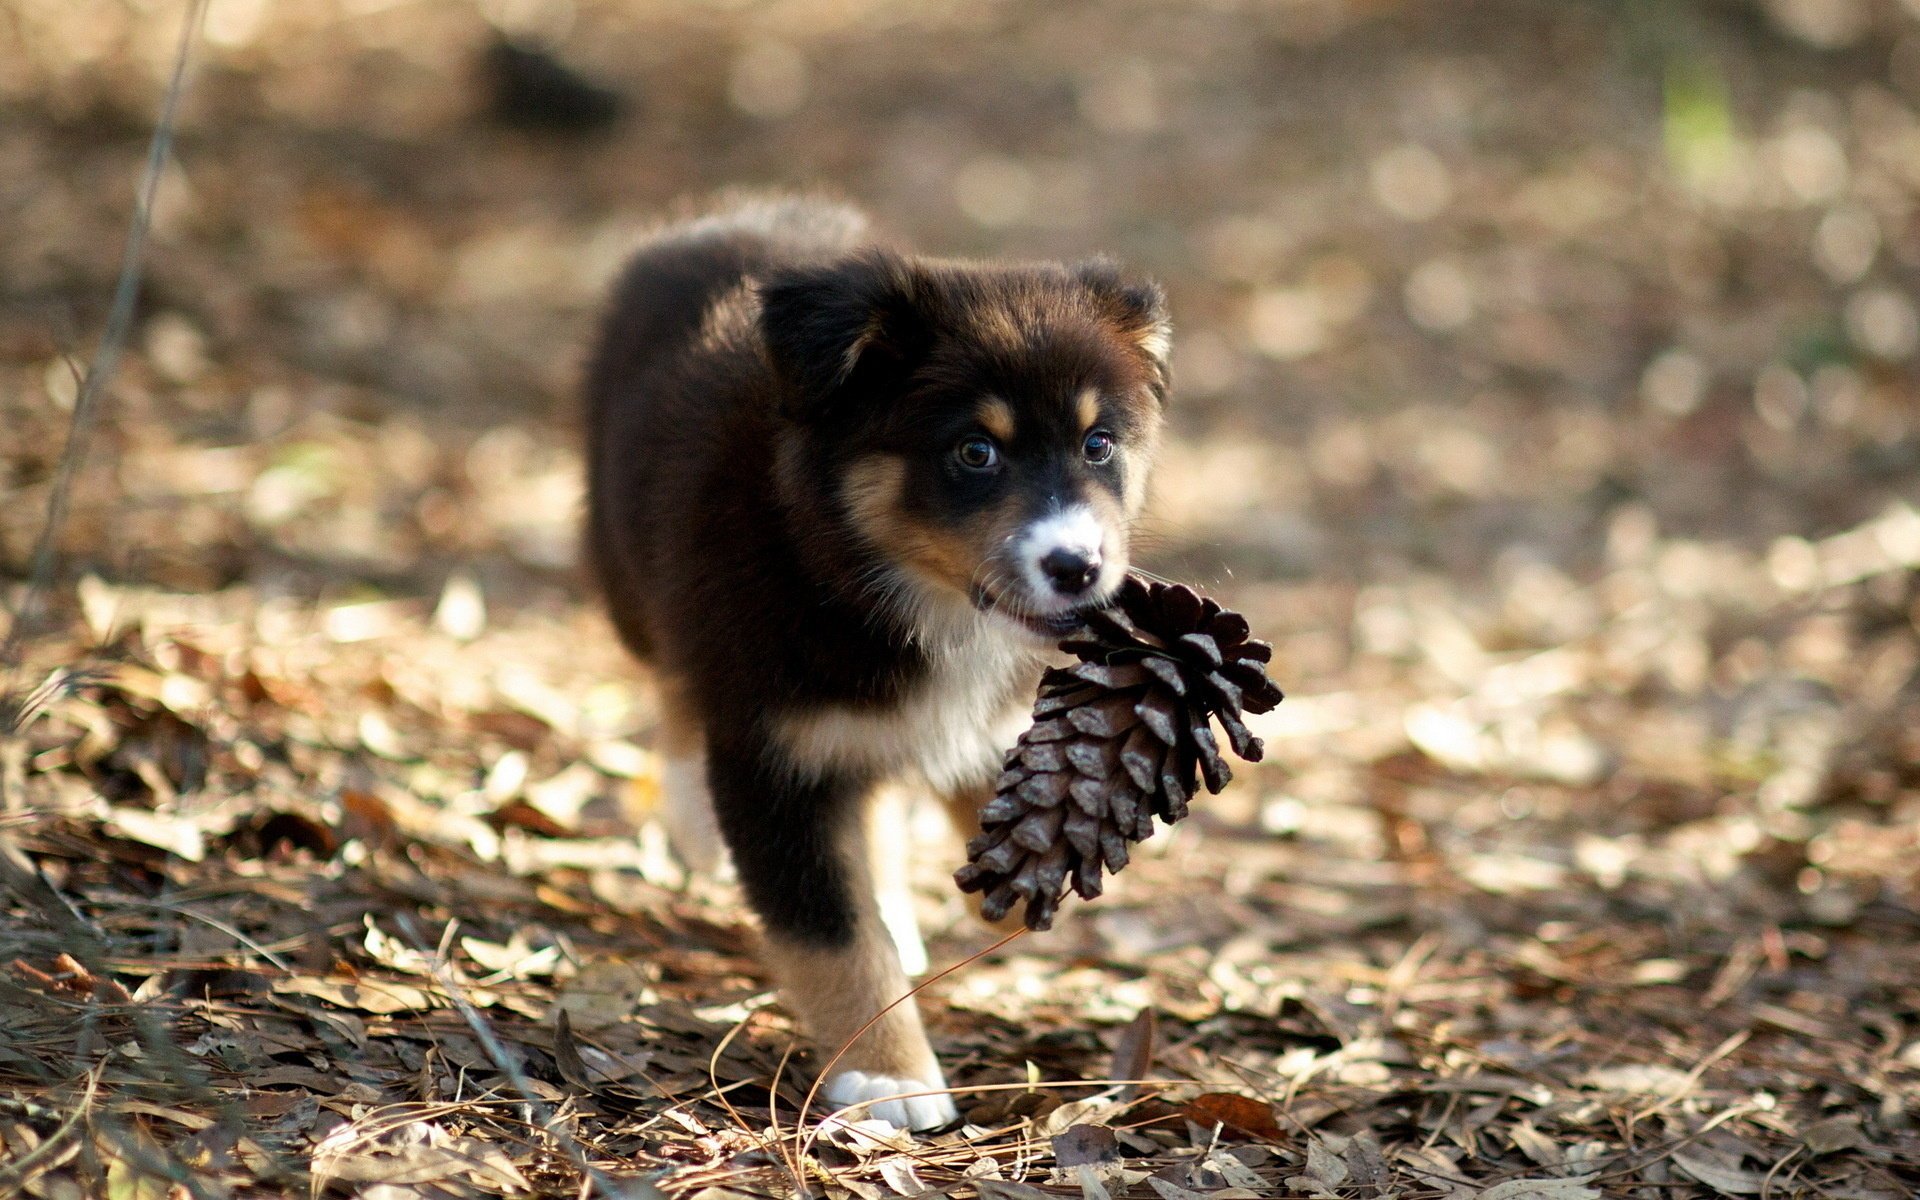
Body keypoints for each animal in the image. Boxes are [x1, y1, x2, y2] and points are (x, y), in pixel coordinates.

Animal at [579, 193, 1167, 1121]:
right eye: (975, 451)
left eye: (1098, 443)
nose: (1077, 567)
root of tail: (720, 216)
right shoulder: (774, 751)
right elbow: (831, 933)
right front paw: (887, 1074)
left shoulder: (985, 719)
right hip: (630, 573)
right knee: (672, 678)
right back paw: (695, 818)